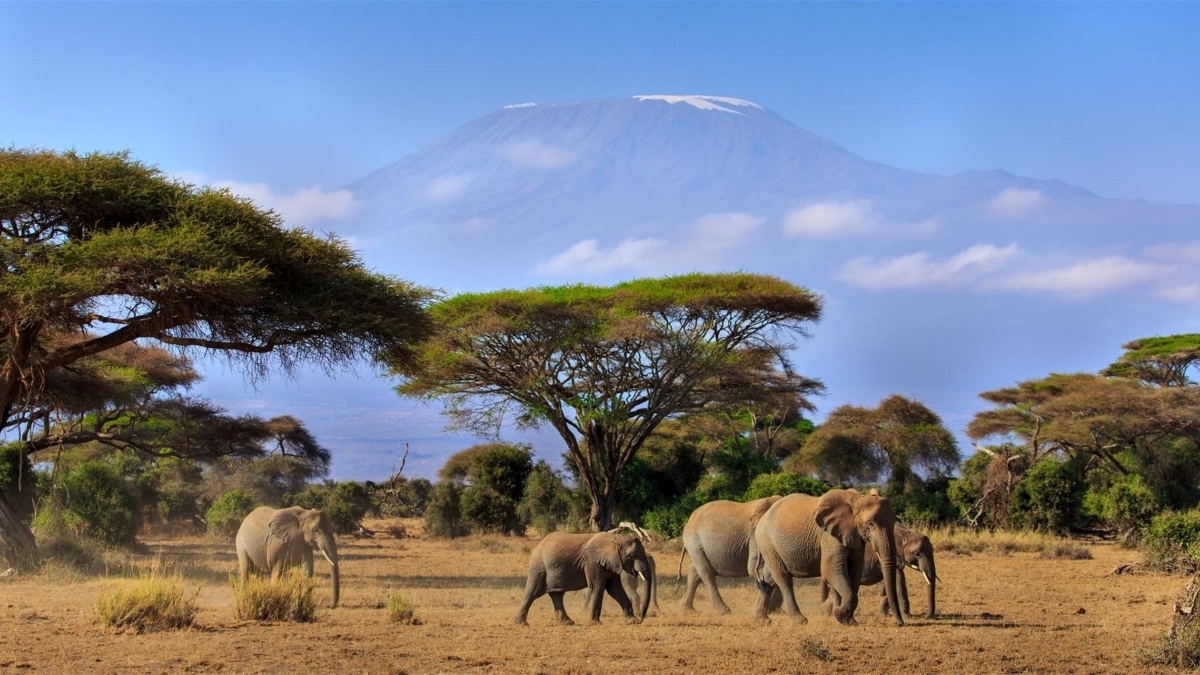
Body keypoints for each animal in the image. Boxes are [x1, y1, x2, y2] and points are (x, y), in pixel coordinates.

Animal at [511, 528, 652, 624]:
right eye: (631, 556)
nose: (641, 618)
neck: (616, 538)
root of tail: (538, 545)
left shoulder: (612, 562)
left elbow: (615, 588)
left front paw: (632, 621)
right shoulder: (592, 562)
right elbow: (598, 586)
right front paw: (596, 623)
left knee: (557, 594)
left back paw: (567, 623)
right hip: (539, 567)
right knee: (533, 592)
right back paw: (522, 623)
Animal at [744, 485, 902, 624]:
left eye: (894, 522)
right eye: (870, 524)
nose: (900, 623)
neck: (857, 500)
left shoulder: (854, 535)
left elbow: (855, 571)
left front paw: (850, 621)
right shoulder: (829, 536)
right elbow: (831, 569)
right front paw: (839, 615)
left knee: (768, 578)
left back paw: (761, 620)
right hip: (767, 541)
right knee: (783, 578)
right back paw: (800, 621)